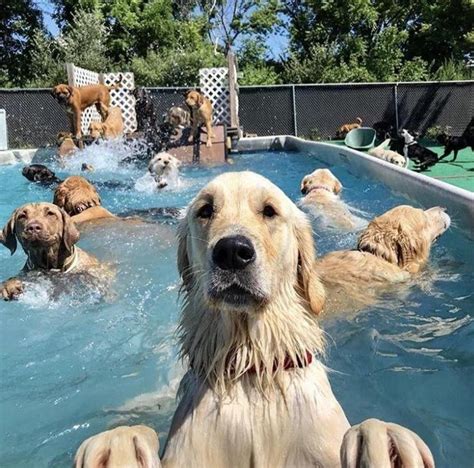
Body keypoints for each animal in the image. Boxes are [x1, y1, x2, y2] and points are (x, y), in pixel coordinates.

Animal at [76, 172, 436, 468]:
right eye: (205, 210)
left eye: (270, 211)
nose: (232, 252)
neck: (251, 367)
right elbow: (127, 434)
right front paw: (117, 445)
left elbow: (370, 427)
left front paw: (388, 443)